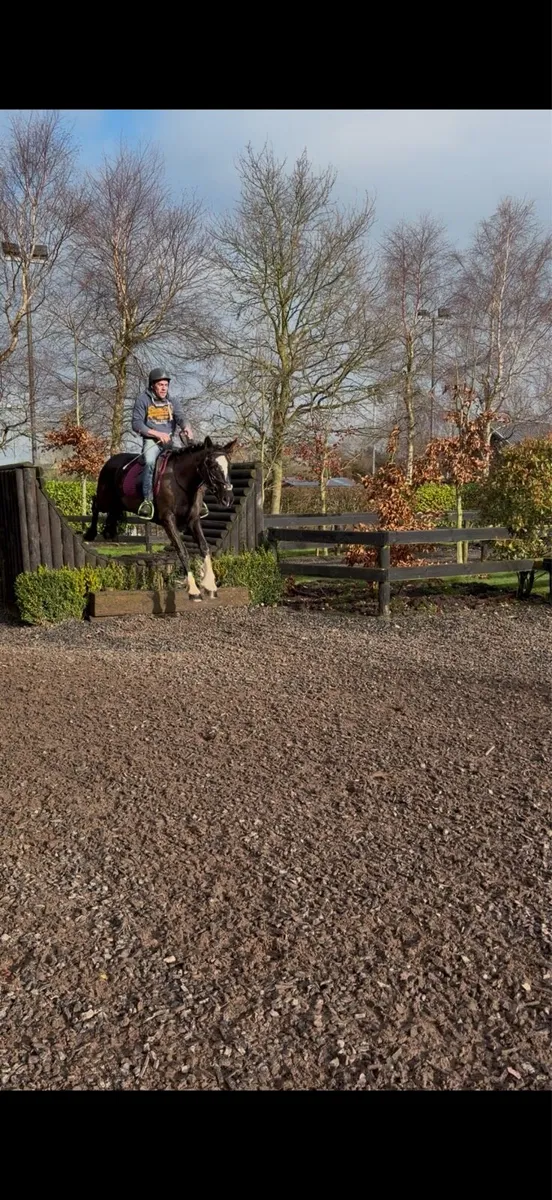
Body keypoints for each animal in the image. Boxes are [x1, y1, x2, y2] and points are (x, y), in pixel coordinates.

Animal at [84, 436, 237, 600]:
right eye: (212, 466)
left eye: (229, 466)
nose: (228, 499)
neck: (181, 481)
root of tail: (111, 460)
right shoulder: (168, 520)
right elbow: (182, 550)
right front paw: (193, 590)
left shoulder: (193, 520)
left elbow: (204, 547)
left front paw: (210, 585)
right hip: (105, 499)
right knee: (95, 504)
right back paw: (90, 534)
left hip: (117, 503)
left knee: (112, 513)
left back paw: (109, 532)